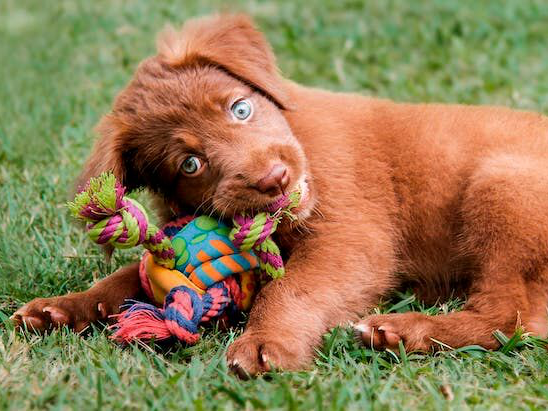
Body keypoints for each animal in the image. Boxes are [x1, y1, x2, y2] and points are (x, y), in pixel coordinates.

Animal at [11, 13, 548, 376]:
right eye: (190, 164)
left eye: (241, 108)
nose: (274, 179)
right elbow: (126, 277)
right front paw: (64, 306)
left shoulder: (353, 240)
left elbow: (290, 289)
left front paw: (264, 342)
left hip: (499, 187)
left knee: (509, 316)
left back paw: (404, 330)